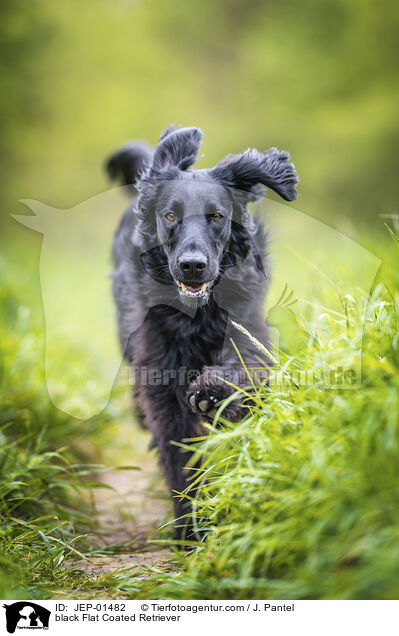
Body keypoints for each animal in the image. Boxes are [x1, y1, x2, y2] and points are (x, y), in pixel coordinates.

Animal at [108, 125, 298, 540]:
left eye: (216, 216)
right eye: (170, 216)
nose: (192, 265)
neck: (196, 315)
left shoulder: (248, 331)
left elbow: (243, 370)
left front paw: (214, 395)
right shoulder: (159, 370)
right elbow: (179, 452)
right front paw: (190, 527)